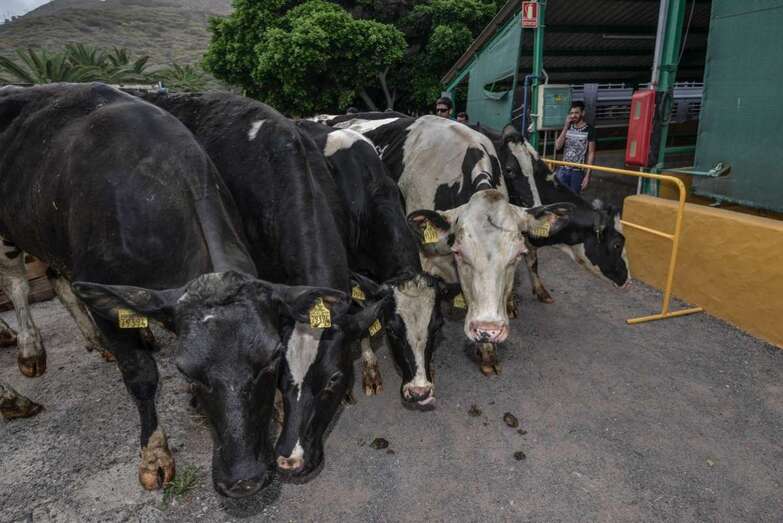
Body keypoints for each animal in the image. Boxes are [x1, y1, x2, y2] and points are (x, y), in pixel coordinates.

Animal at [0, 83, 357, 497]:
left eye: (335, 378)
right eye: (185, 371)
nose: (245, 479)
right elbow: (140, 375)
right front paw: (155, 456)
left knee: (59, 278)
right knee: (16, 282)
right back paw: (26, 360)